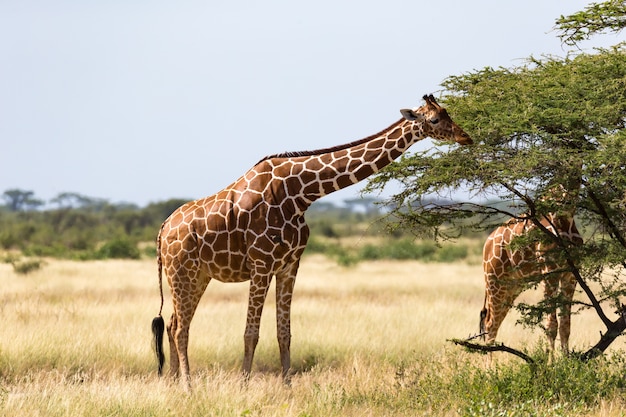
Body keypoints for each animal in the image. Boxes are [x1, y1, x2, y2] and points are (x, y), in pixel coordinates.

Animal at [152, 93, 468, 386]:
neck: (301, 193)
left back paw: (172, 383)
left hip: (198, 276)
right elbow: (250, 333)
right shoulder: (261, 264)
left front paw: (287, 387)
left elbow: (284, 332)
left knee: (172, 324)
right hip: (181, 273)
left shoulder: (289, 265)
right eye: (435, 119)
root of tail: (163, 229)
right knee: (180, 329)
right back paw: (188, 387)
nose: (465, 136)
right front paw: (243, 387)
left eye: (447, 112)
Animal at [480, 201, 584, 358]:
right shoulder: (550, 272)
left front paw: (567, 361)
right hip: (494, 281)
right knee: (490, 325)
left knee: (494, 323)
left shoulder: (570, 275)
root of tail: (487, 243)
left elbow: (565, 325)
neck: (565, 219)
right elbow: (551, 325)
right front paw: (552, 363)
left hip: (512, 287)